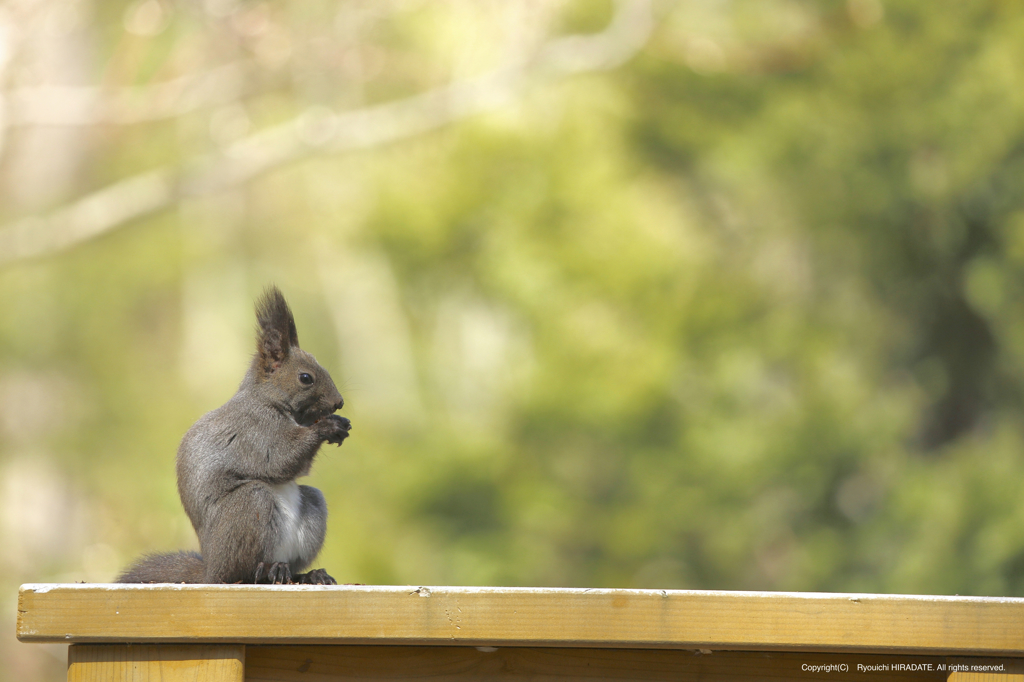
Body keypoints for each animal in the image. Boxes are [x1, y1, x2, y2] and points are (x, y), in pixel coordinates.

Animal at [117, 284, 350, 581]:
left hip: (312, 507)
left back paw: (307, 575)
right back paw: (266, 570)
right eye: (305, 378)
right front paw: (327, 426)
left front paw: (338, 422)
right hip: (249, 507)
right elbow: (281, 459)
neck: (266, 399)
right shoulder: (254, 430)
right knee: (242, 570)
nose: (338, 402)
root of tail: (211, 570)